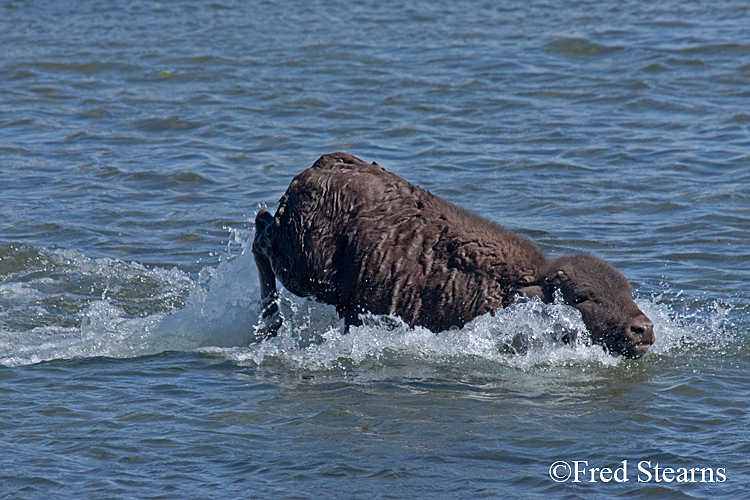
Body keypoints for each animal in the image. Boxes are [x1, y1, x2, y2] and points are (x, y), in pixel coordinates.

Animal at [251, 153, 652, 360]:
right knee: (261, 239)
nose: (643, 329)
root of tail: (320, 167)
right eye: (582, 297)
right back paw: (270, 324)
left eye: (628, 291)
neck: (514, 286)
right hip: (302, 269)